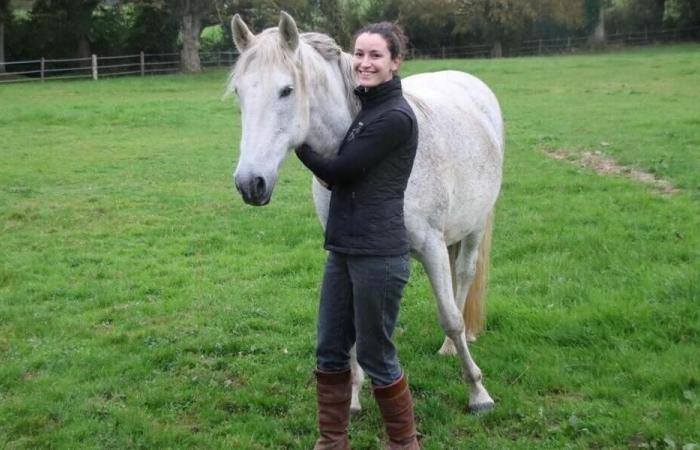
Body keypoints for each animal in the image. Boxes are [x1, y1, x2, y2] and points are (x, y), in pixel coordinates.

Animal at [228, 12, 504, 414]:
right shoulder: (347, 253)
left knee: (463, 279)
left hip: (474, 227)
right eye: (239, 93)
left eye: (286, 90)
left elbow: (451, 317)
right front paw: (354, 396)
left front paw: (478, 391)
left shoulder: (432, 246)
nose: (250, 183)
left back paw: (452, 348)